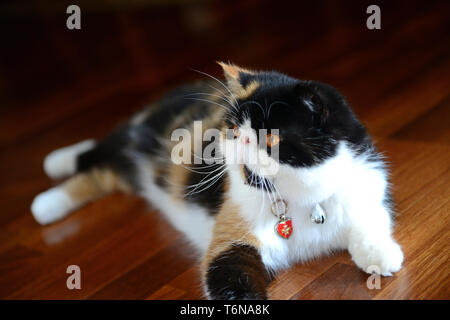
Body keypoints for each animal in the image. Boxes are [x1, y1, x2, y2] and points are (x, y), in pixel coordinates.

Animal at [31, 62, 404, 300]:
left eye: (270, 137)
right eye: (235, 128)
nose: (240, 141)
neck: (299, 198)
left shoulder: (366, 185)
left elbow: (370, 221)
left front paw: (382, 256)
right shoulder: (233, 230)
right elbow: (230, 276)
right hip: (135, 144)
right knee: (102, 157)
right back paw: (48, 192)